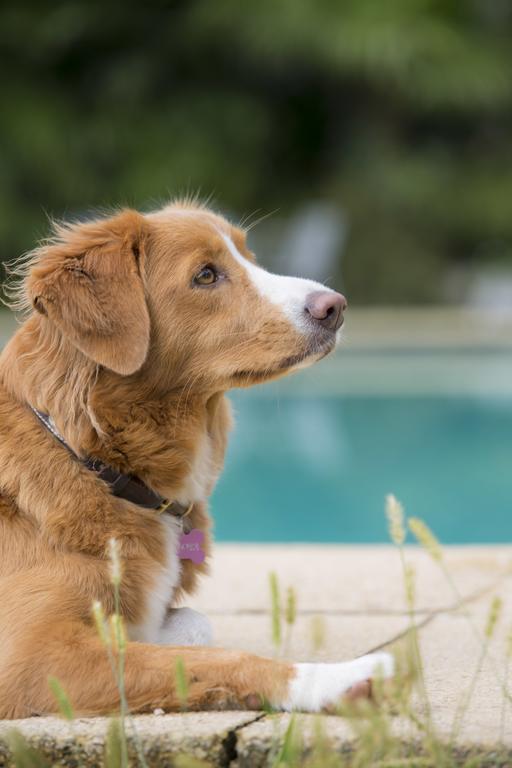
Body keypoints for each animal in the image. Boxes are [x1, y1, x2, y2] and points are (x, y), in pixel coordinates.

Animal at [0, 201, 394, 716]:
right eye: (206, 275)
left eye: (250, 257)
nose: (335, 306)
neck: (90, 456)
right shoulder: (31, 658)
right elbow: (220, 658)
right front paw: (338, 678)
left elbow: (193, 626)